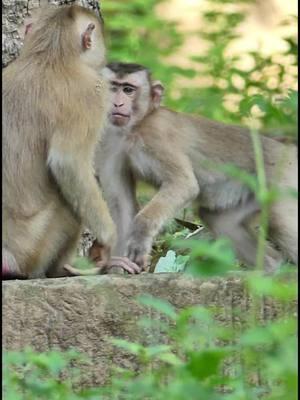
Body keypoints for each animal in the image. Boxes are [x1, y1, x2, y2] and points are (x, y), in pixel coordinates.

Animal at [2, 7, 141, 282]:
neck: (49, 55)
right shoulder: (93, 92)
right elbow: (67, 163)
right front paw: (108, 241)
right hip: (33, 249)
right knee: (67, 200)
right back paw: (62, 270)